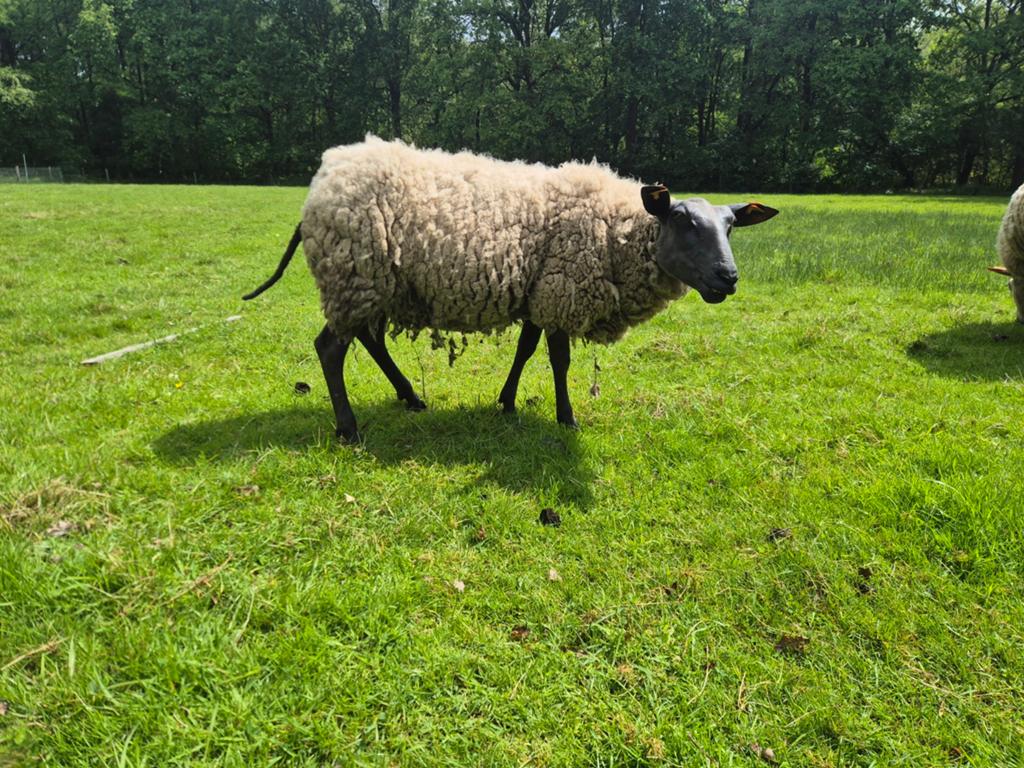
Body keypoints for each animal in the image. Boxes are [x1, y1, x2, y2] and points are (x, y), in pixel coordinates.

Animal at [244, 137, 778, 442]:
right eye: (684, 222)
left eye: (731, 226)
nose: (728, 279)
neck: (615, 234)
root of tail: (321, 185)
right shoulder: (563, 289)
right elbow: (559, 361)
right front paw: (566, 418)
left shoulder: (537, 291)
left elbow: (525, 349)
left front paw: (506, 402)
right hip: (355, 276)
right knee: (331, 348)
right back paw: (349, 428)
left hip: (377, 284)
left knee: (368, 340)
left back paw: (410, 397)